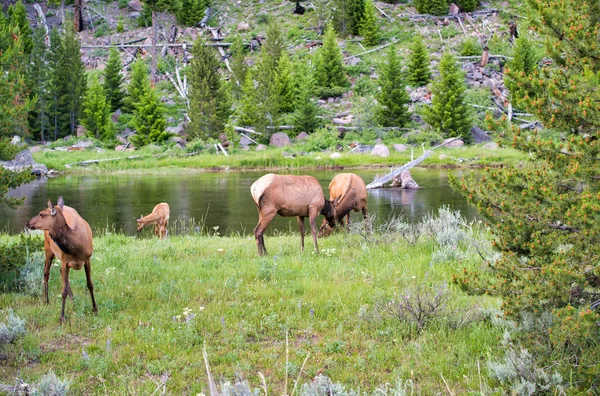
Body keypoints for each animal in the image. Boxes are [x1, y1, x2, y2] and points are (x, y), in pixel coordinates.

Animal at [26, 196, 96, 324]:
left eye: (41, 214)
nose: (27, 223)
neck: (77, 247)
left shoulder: (87, 260)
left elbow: (90, 285)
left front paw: (95, 309)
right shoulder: (65, 261)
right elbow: (63, 291)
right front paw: (62, 317)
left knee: (58, 272)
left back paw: (73, 299)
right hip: (48, 247)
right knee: (46, 271)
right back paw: (46, 300)